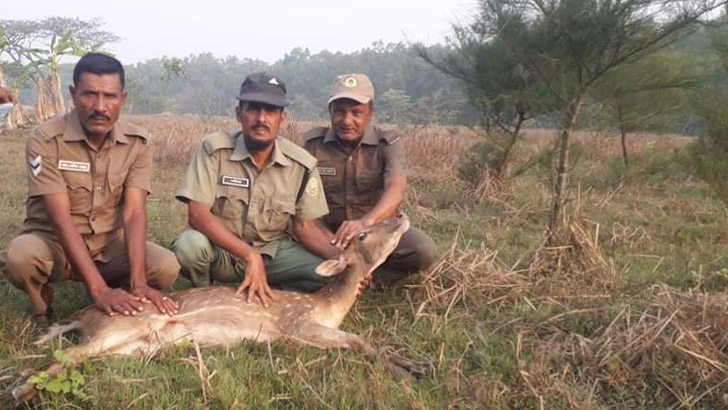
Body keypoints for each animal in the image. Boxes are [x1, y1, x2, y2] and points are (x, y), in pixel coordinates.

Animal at [8, 213, 420, 402]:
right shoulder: (295, 327)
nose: (401, 216)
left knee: (67, 359)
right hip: (121, 326)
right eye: (362, 234)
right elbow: (358, 342)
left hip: (135, 347)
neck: (326, 307)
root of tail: (84, 315)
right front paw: (409, 368)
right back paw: (18, 392)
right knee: (57, 359)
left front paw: (411, 363)